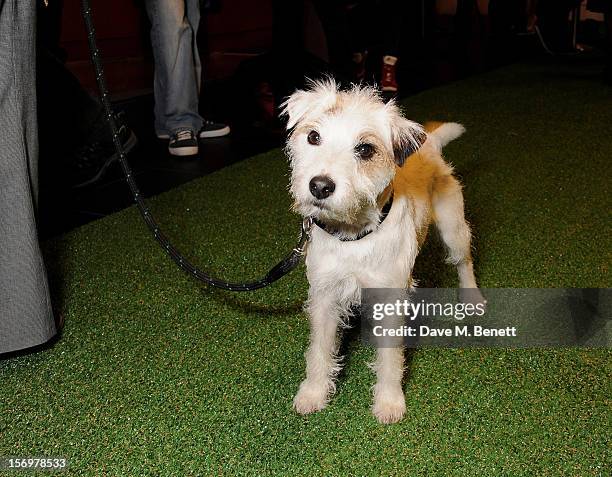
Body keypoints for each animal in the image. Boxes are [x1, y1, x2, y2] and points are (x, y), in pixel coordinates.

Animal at [282, 79, 482, 424]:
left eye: (365, 149)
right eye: (313, 137)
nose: (319, 186)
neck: (353, 236)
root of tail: (430, 145)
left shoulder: (389, 298)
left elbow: (390, 358)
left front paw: (389, 401)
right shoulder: (325, 295)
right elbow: (320, 349)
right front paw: (314, 393)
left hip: (453, 228)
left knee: (464, 262)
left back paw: (472, 298)